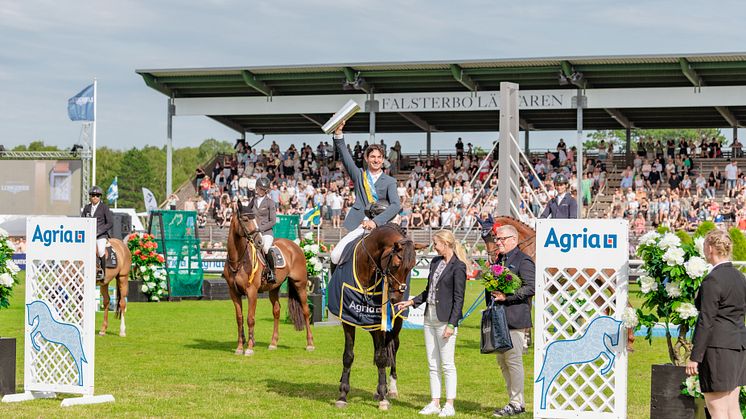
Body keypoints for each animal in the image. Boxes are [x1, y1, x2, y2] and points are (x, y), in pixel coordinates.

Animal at [222, 199, 312, 354]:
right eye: (245, 219)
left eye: (255, 219)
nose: (259, 242)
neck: (238, 260)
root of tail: (295, 246)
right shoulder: (233, 292)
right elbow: (239, 319)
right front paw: (239, 348)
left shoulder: (252, 292)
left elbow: (250, 318)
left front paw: (249, 348)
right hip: (274, 288)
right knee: (276, 311)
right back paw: (273, 343)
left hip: (300, 284)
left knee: (306, 311)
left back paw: (310, 344)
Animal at [332, 225, 424, 412]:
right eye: (396, 265)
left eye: (411, 267)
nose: (396, 300)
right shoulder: (348, 320)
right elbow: (348, 355)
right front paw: (343, 395)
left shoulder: (381, 325)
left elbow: (382, 358)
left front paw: (383, 398)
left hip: (395, 326)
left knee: (392, 351)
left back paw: (391, 389)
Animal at [480, 217, 632, 352]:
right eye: (483, 238)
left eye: (494, 236)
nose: (492, 260)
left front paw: (525, 342)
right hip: (595, 285)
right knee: (603, 307)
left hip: (610, 283)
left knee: (627, 306)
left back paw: (629, 342)